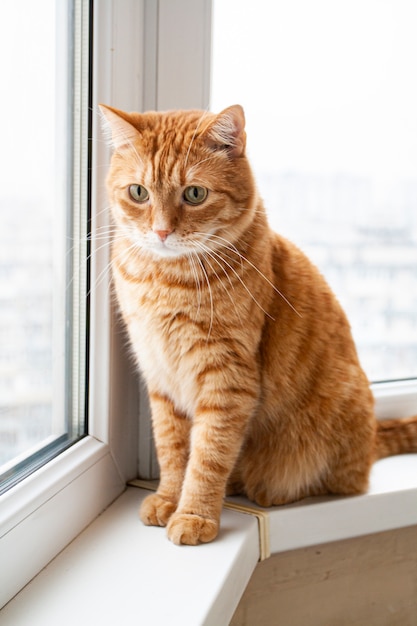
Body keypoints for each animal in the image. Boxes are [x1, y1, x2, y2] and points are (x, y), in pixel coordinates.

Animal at [100, 105, 416, 544]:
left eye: (194, 194)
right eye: (138, 192)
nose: (161, 231)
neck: (165, 278)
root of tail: (372, 436)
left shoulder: (228, 380)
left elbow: (208, 455)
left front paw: (194, 514)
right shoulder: (159, 375)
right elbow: (172, 449)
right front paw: (168, 498)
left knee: (340, 482)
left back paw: (264, 488)